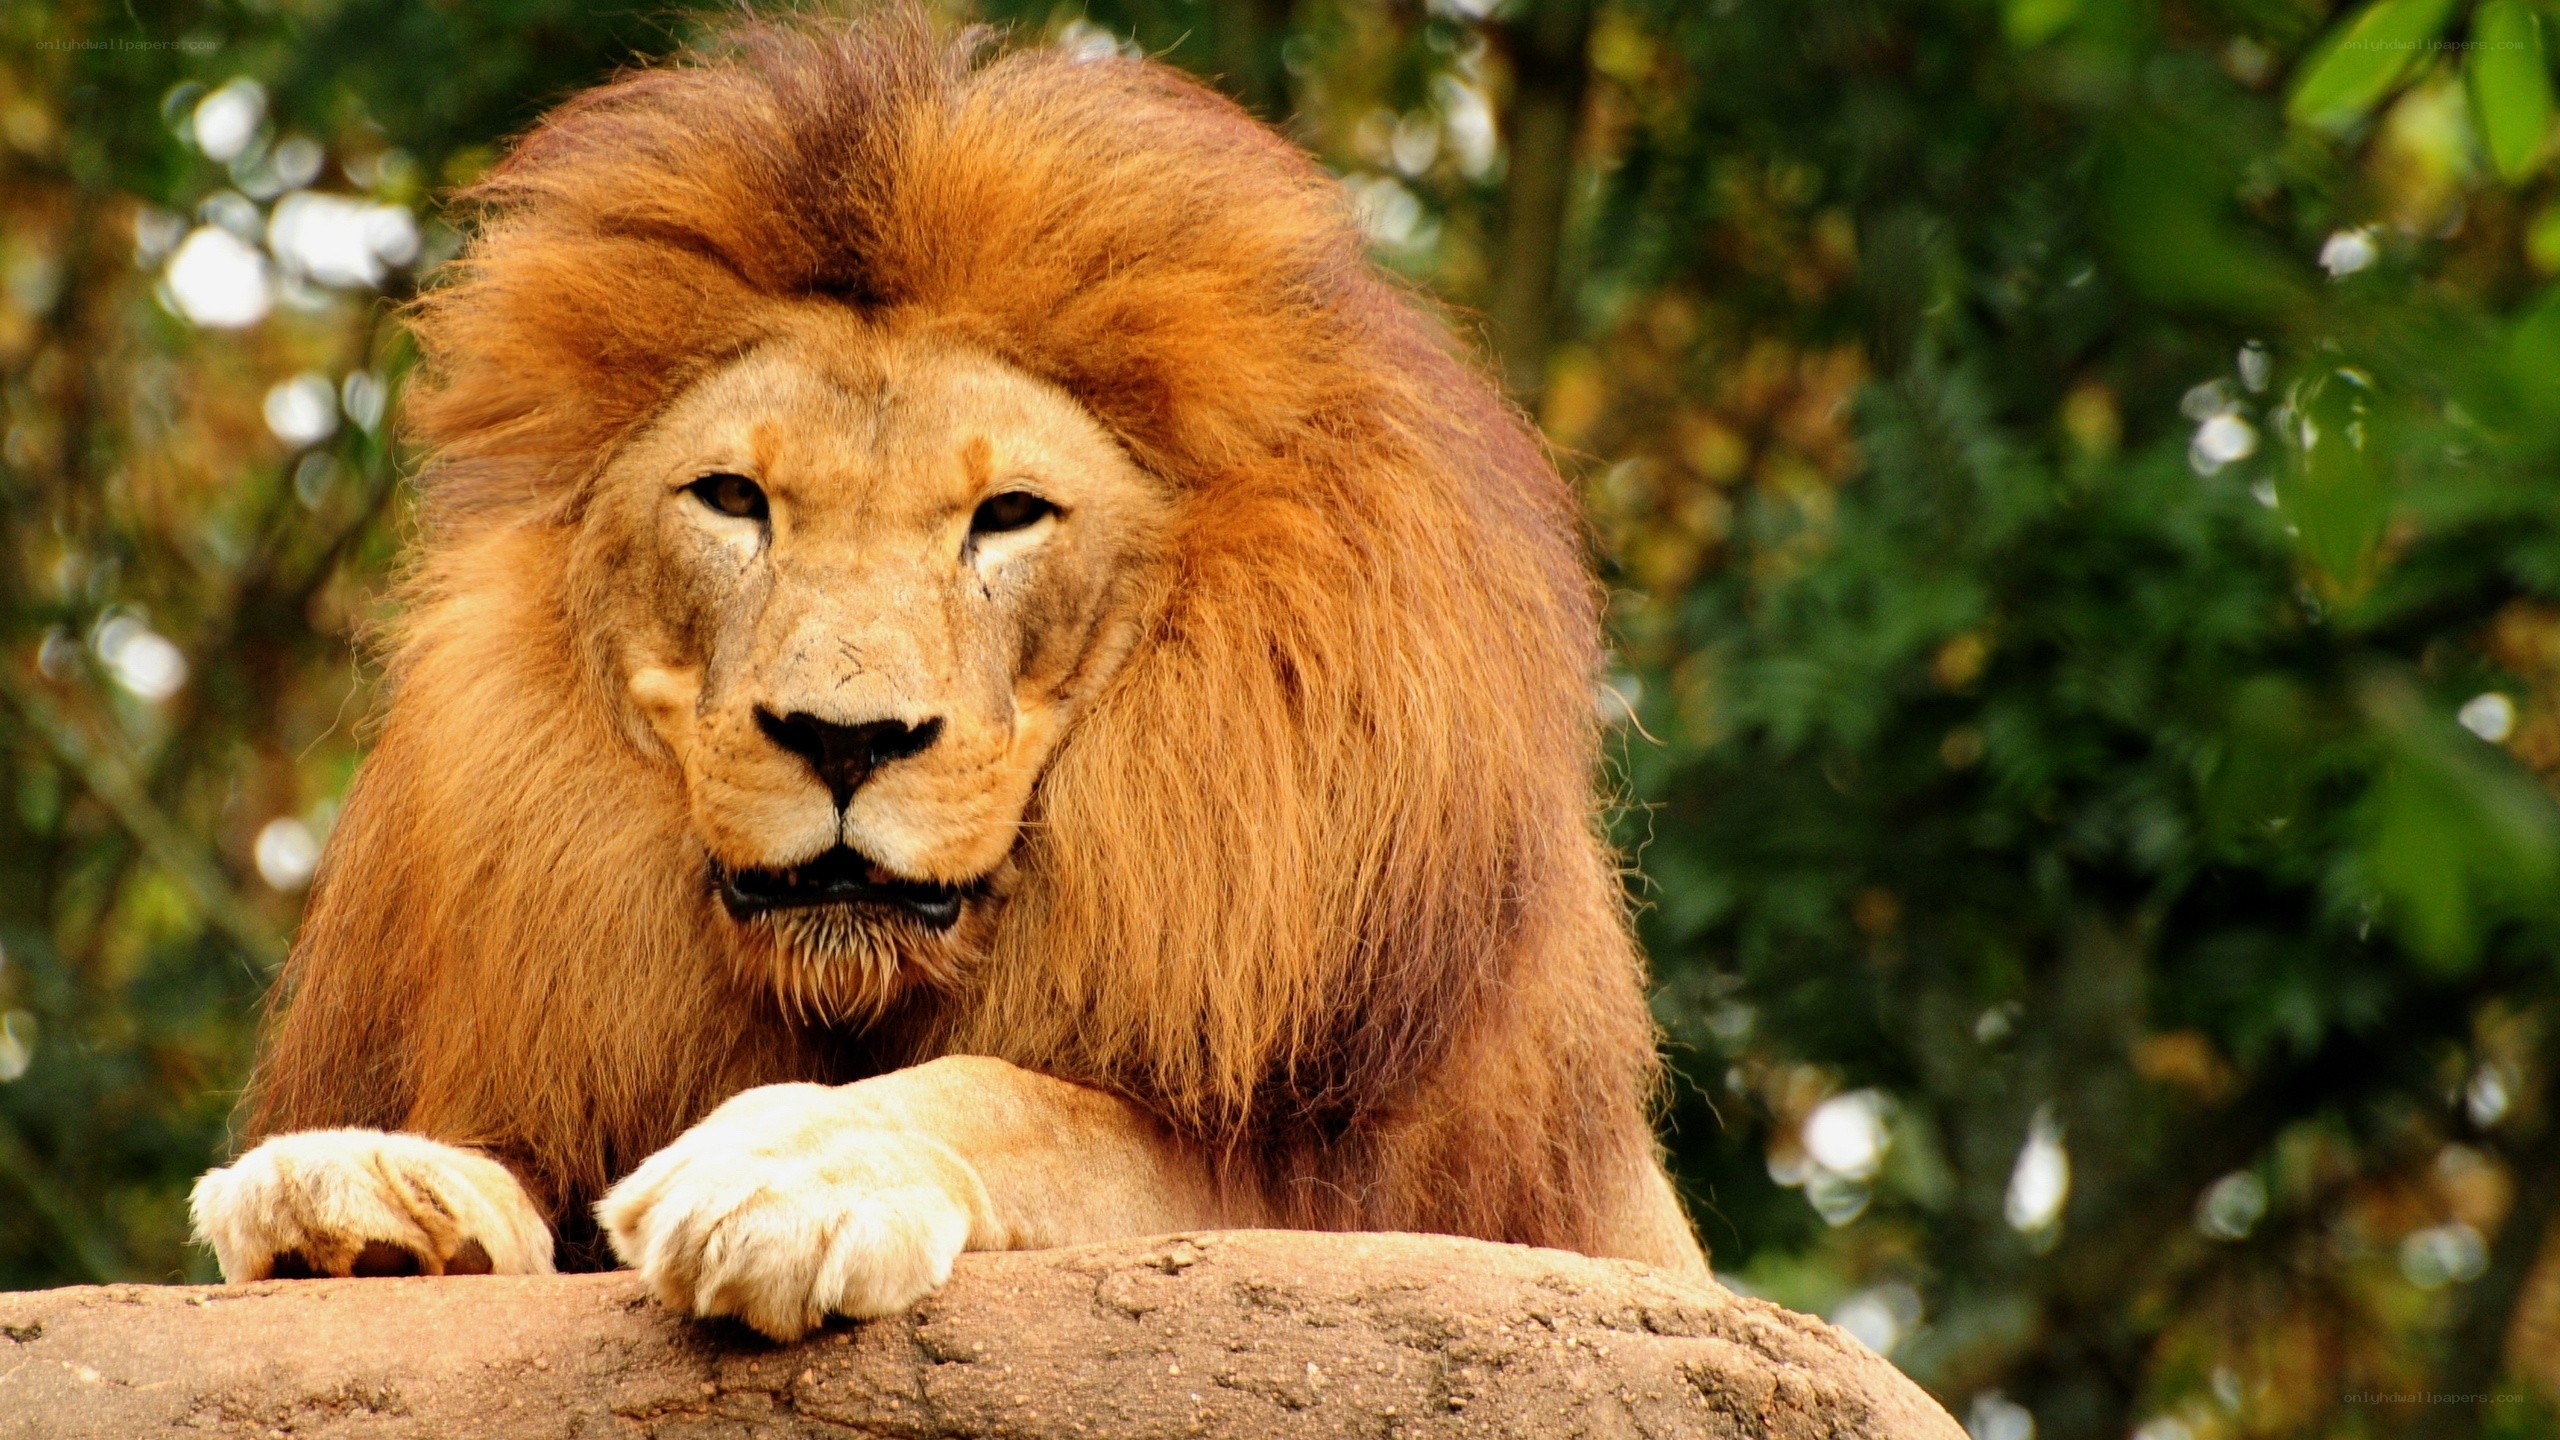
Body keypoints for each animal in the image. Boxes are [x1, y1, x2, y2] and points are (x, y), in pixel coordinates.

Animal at [187, 8, 1706, 1340]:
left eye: (1009, 515)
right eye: (732, 499)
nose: (843, 738)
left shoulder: (1346, 1187)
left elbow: (1024, 1101)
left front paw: (791, 1169)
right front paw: (367, 1183)